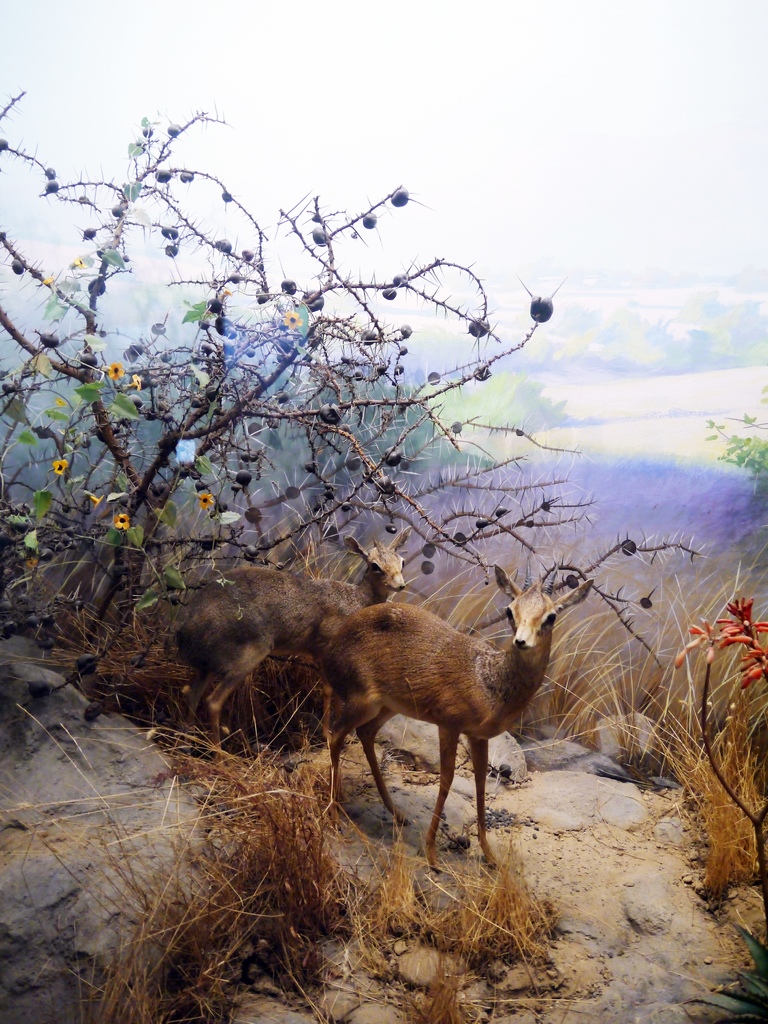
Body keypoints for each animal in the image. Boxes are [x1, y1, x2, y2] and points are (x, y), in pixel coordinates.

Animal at [177, 532, 411, 749]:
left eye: (401, 561)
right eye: (375, 565)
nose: (400, 585)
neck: (356, 602)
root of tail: (183, 633)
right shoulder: (322, 651)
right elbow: (328, 690)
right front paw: (328, 736)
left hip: (207, 667)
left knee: (192, 694)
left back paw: (186, 741)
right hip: (245, 660)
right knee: (212, 702)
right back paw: (219, 756)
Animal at [321, 565, 593, 868]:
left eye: (551, 615)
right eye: (510, 610)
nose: (521, 641)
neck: (489, 680)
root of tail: (329, 650)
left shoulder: (478, 736)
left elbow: (481, 784)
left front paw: (490, 855)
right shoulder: (448, 726)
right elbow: (446, 780)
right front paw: (431, 853)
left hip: (388, 707)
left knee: (364, 734)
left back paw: (396, 814)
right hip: (360, 703)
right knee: (334, 736)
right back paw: (334, 813)